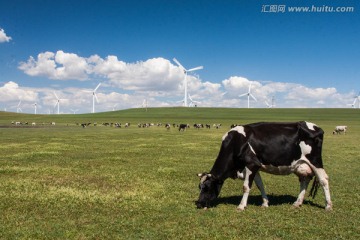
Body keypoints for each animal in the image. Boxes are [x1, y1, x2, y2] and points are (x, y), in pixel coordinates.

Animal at [195, 122, 334, 210]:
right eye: (199, 187)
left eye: (207, 187)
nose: (199, 204)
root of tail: (316, 127)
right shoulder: (254, 167)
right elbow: (260, 185)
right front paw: (265, 203)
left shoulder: (252, 164)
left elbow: (246, 187)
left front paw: (241, 206)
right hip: (301, 164)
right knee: (304, 180)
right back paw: (297, 203)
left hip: (315, 161)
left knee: (323, 180)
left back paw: (328, 205)